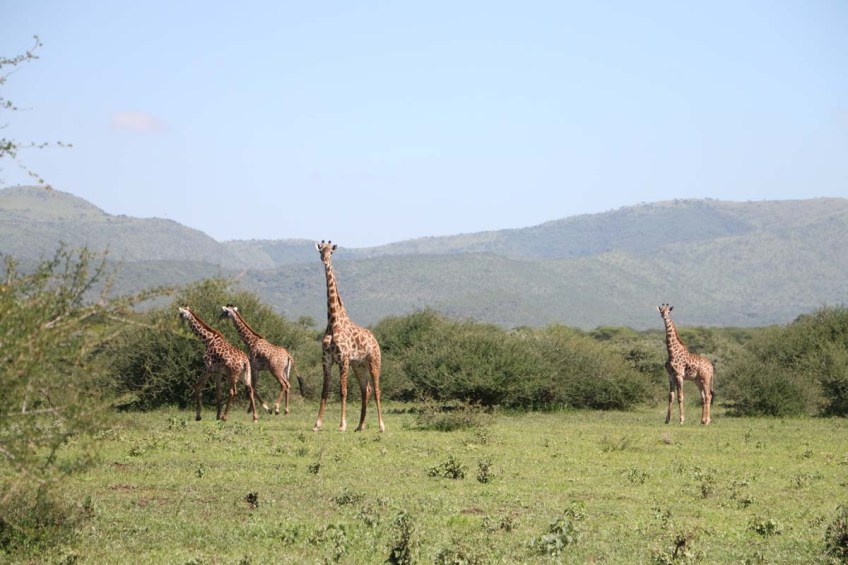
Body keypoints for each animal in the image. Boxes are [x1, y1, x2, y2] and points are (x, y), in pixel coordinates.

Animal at [313, 240, 385, 432]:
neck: (333, 322)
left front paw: (342, 424)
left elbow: (342, 390)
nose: (324, 260)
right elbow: (324, 390)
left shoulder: (343, 358)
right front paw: (317, 424)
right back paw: (360, 426)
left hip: (374, 361)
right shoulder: (327, 359)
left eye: (331, 252)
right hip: (359, 366)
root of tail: (375, 340)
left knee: (376, 390)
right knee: (366, 390)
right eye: (320, 251)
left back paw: (381, 426)